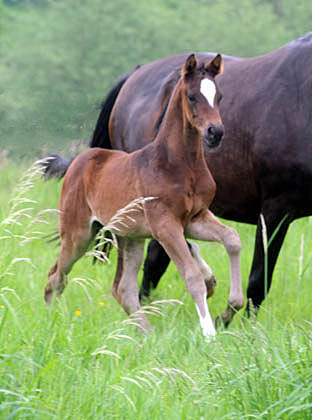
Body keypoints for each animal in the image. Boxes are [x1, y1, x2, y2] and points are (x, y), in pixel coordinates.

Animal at [44, 55, 244, 338]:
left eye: (220, 96)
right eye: (192, 96)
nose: (215, 132)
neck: (179, 164)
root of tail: (80, 161)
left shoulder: (194, 219)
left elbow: (232, 239)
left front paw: (231, 307)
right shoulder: (165, 225)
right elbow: (193, 277)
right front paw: (209, 335)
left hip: (131, 238)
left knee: (123, 289)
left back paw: (148, 336)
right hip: (79, 234)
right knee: (56, 276)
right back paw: (53, 321)